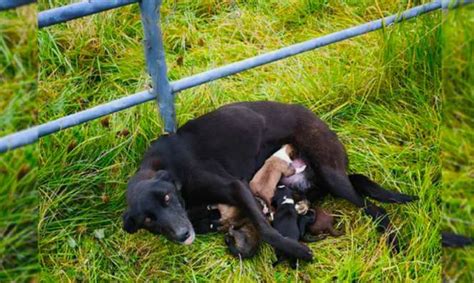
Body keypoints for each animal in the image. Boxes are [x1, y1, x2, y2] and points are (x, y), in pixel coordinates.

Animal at [123, 101, 418, 260]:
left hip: (332, 174)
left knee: (375, 209)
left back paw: (393, 243)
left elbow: (265, 228)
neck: (167, 167)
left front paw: (295, 249)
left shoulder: (236, 187)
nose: (183, 235)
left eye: (167, 198)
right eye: (148, 220)